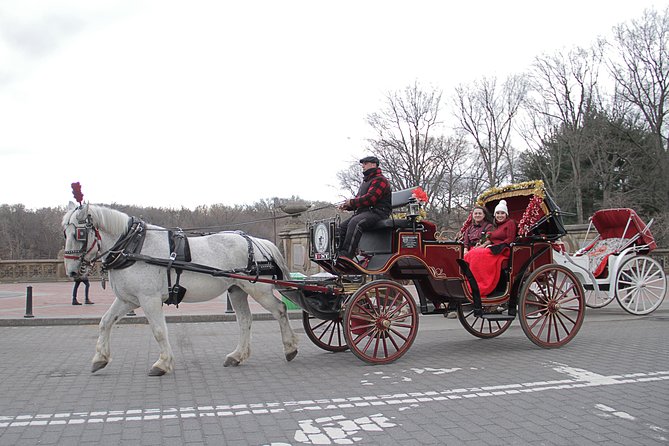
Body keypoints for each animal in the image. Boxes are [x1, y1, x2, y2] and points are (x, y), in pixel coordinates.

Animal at [62, 204, 298, 374]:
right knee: (245, 320)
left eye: (79, 234)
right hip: (236, 289)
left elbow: (158, 330)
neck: (133, 247)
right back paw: (237, 355)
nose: (72, 271)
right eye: (64, 233)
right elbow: (105, 322)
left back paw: (290, 348)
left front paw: (163, 364)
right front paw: (100, 358)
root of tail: (257, 241)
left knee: (280, 310)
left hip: (259, 290)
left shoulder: (149, 299)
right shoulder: (128, 300)